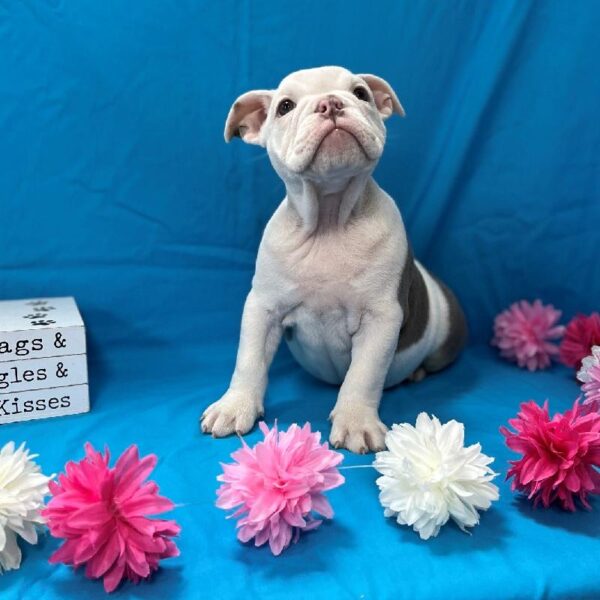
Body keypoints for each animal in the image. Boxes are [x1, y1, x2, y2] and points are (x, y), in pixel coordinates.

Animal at [202, 65, 468, 452]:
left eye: (360, 93)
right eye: (284, 106)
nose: (330, 103)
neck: (329, 219)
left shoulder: (380, 318)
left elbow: (363, 374)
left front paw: (356, 421)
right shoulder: (263, 307)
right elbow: (249, 359)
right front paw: (235, 406)